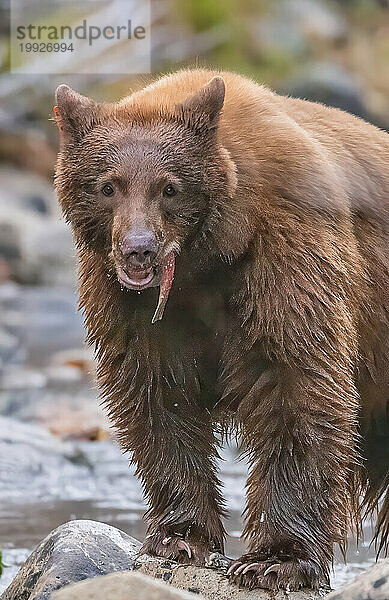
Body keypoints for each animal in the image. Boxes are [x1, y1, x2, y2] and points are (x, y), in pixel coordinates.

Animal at [53, 69, 388, 592]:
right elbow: (157, 398)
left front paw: (274, 560)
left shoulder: (286, 255)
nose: (138, 249)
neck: (206, 258)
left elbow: (295, 384)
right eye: (108, 186)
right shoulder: (133, 308)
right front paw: (179, 537)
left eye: (169, 188)